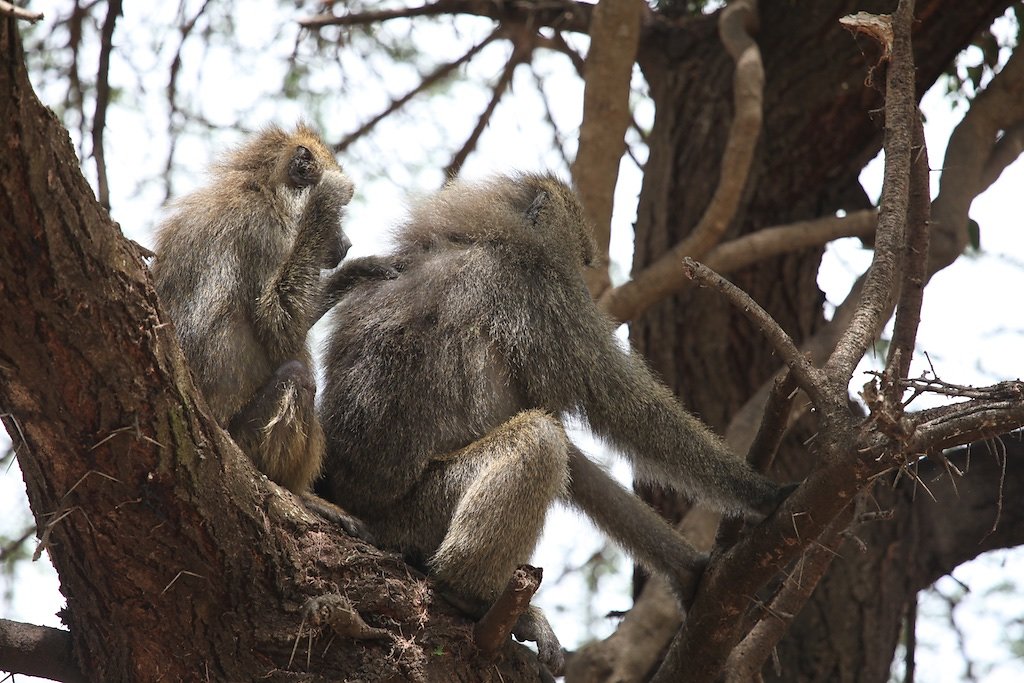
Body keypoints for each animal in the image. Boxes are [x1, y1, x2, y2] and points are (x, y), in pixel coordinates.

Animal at [150, 120, 391, 532]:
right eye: (341, 213)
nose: (346, 244)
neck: (260, 189)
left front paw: (358, 273)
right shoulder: (266, 232)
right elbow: (280, 326)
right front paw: (323, 204)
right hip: (243, 444)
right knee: (296, 374)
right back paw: (296, 492)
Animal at [317, 172, 790, 671]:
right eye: (578, 260)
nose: (590, 281)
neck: (481, 234)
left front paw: (691, 569)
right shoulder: (543, 290)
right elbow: (624, 408)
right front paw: (763, 493)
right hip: (417, 516)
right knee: (540, 439)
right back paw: (470, 595)